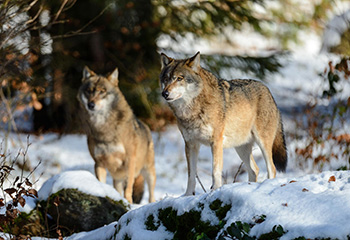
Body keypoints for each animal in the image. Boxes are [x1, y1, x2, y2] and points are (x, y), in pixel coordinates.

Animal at [79, 66, 157, 203]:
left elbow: (129, 190)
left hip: (148, 171)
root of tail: (145, 125)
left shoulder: (130, 161)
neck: (104, 128)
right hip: (117, 178)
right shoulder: (98, 163)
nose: (91, 104)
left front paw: (129, 203)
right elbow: (101, 183)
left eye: (102, 91)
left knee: (151, 194)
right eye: (89, 91)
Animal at [159, 51, 288, 196]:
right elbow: (191, 175)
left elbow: (215, 170)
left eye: (179, 78)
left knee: (272, 168)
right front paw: (187, 195)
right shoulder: (190, 144)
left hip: (263, 143)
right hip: (241, 148)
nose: (164, 93)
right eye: (166, 79)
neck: (191, 111)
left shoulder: (216, 142)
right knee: (255, 170)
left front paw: (215, 189)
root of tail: (268, 91)